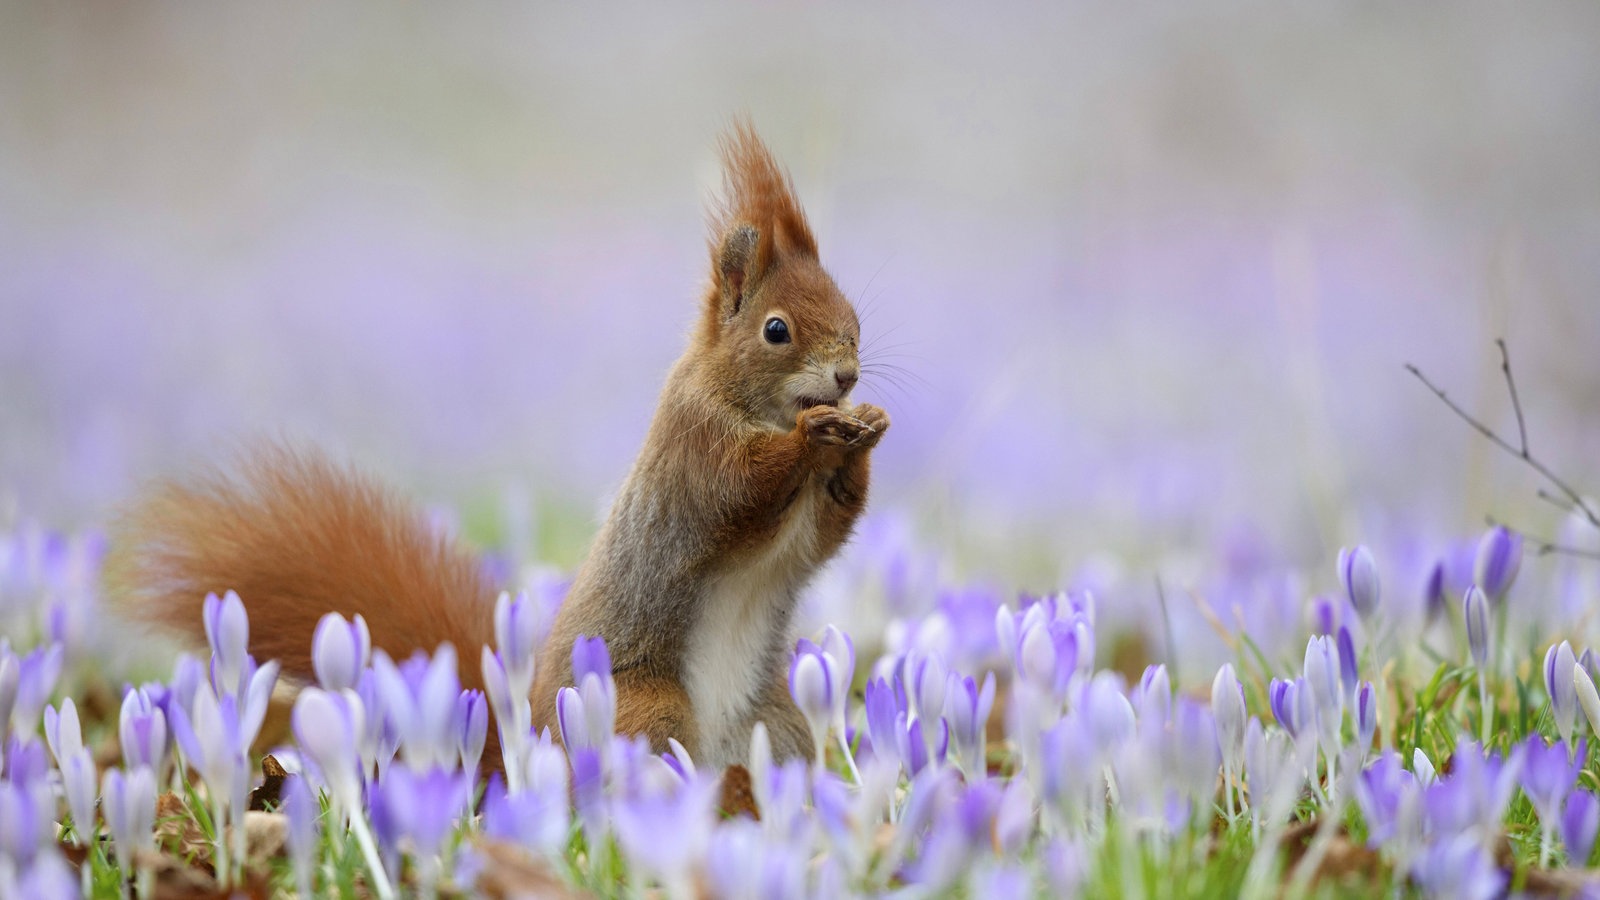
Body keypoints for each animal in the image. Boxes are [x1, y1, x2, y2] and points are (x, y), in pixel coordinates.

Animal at [109, 122, 889, 768]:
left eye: (852, 315)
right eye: (776, 330)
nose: (847, 375)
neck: (746, 399)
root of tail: (526, 745)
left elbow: (823, 529)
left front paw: (864, 434)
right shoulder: (693, 448)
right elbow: (741, 489)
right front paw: (814, 435)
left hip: (776, 726)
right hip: (644, 709)